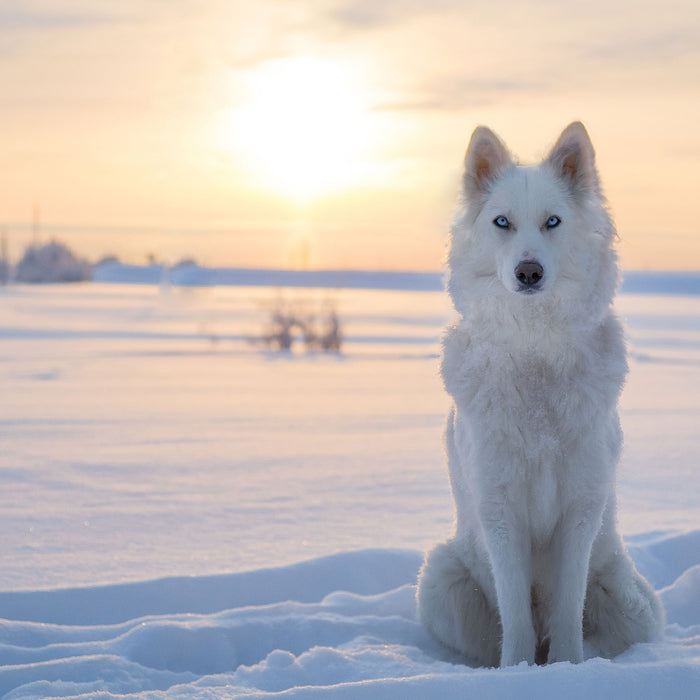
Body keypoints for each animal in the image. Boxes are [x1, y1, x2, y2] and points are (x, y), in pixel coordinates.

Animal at [418, 124, 664, 668]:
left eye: (553, 222)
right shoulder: (499, 510)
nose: (528, 272)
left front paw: (567, 669)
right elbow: (516, 615)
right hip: (441, 580)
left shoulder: (581, 508)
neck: (536, 356)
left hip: (631, 601)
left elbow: (568, 606)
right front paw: (518, 672)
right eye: (502, 222)